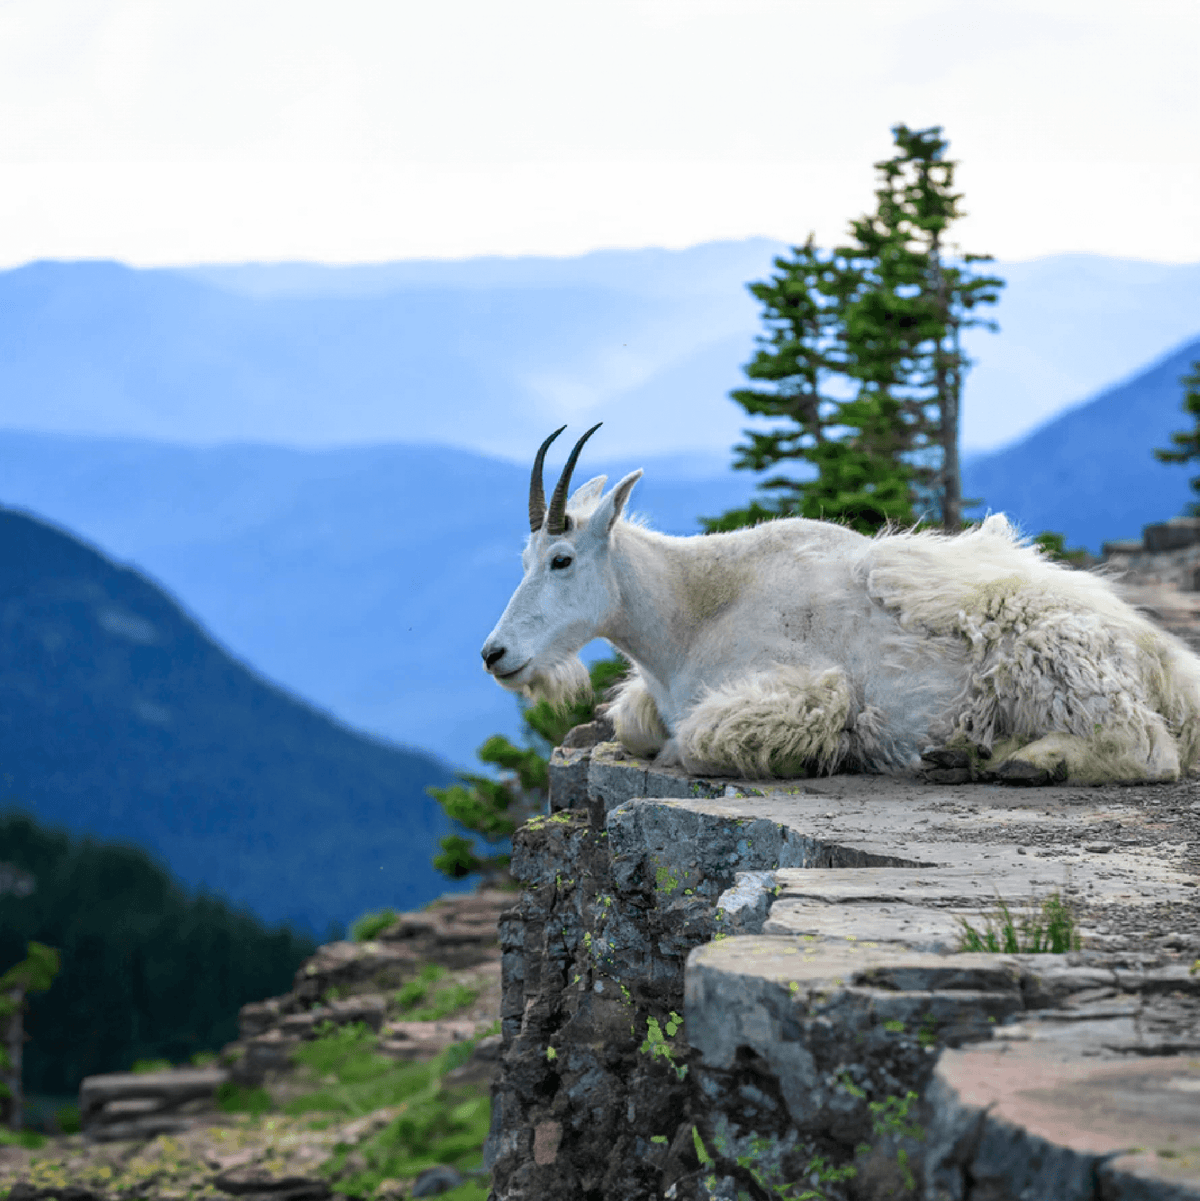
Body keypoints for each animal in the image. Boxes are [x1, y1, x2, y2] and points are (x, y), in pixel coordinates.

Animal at [481, 426, 1200, 784]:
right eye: (523, 559)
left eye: (561, 559)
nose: (494, 654)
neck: (692, 611)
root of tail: (1162, 659)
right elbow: (634, 725)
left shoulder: (807, 687)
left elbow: (700, 737)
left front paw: (827, 754)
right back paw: (966, 757)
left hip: (1058, 669)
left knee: (1145, 750)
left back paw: (1020, 762)